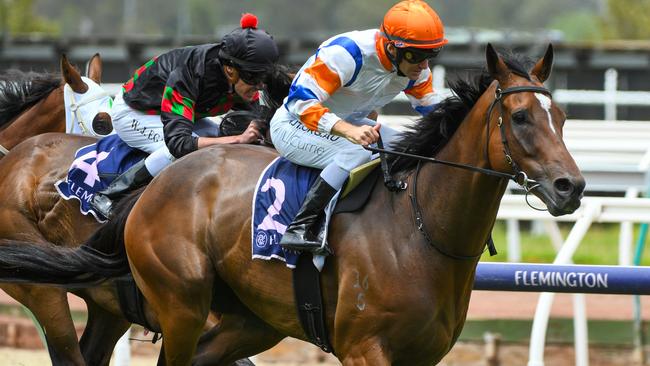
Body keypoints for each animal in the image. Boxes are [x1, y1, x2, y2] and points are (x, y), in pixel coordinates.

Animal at [0, 44, 584, 364]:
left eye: (561, 117)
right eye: (521, 117)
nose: (570, 187)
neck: (418, 230)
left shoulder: (422, 356)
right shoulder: (364, 348)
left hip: (243, 318)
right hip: (171, 301)